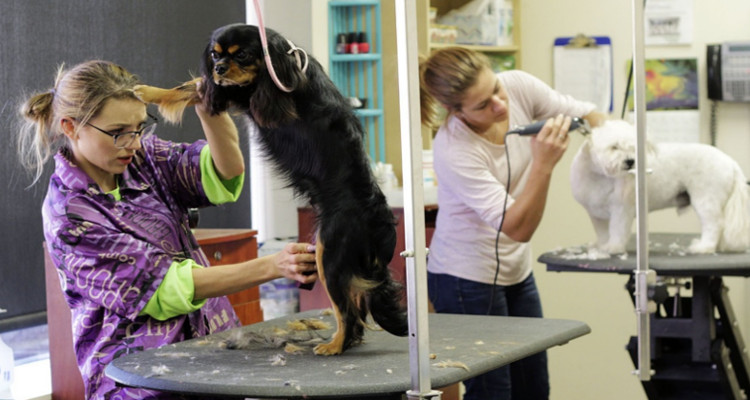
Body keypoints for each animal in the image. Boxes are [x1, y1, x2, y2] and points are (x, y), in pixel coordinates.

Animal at [132, 23, 408, 354]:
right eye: (215, 55)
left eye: (243, 55)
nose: (220, 69)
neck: (282, 60)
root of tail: (378, 219)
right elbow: (194, 85)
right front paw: (151, 90)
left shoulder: (248, 94)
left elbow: (198, 86)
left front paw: (147, 91)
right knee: (356, 304)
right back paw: (345, 342)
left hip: (329, 253)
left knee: (346, 309)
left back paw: (335, 346)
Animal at [572, 120, 748, 255]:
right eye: (614, 147)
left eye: (634, 148)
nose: (630, 161)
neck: (600, 176)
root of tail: (730, 162)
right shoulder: (596, 214)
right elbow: (602, 233)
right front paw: (602, 245)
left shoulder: (621, 209)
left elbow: (617, 230)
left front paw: (614, 247)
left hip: (706, 198)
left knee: (715, 224)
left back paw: (704, 247)